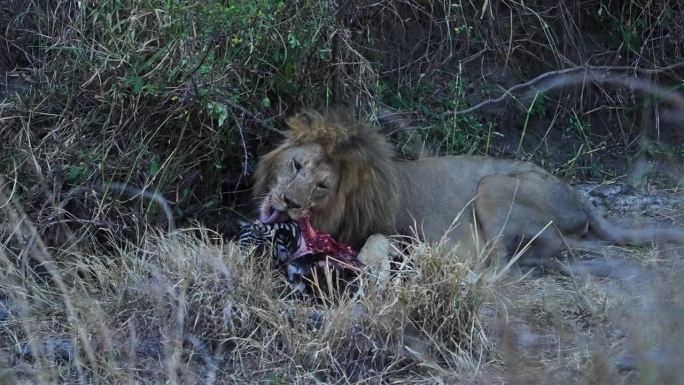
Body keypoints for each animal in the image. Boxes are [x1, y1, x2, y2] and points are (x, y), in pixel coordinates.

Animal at [252, 108, 684, 272]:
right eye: (296, 165)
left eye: (323, 186)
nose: (288, 201)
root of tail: (582, 199)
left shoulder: (403, 232)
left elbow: (375, 244)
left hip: (492, 186)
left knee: (502, 264)